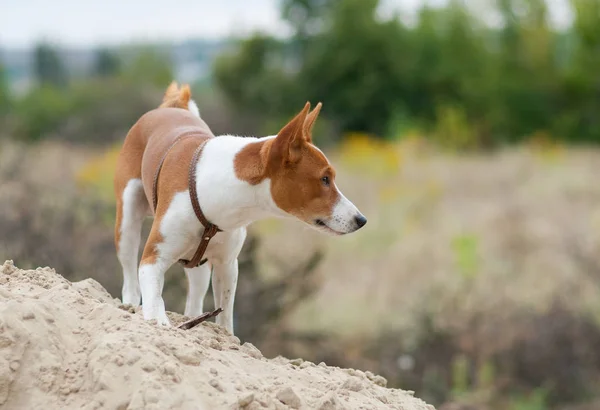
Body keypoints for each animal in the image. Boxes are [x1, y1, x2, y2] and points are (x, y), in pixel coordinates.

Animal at [112, 81, 366, 334]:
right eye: (325, 179)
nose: (361, 220)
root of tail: (172, 108)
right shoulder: (152, 260)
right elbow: (155, 303)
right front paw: (159, 321)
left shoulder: (227, 265)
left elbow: (225, 317)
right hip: (127, 223)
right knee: (130, 279)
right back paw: (130, 304)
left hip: (197, 263)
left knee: (194, 298)